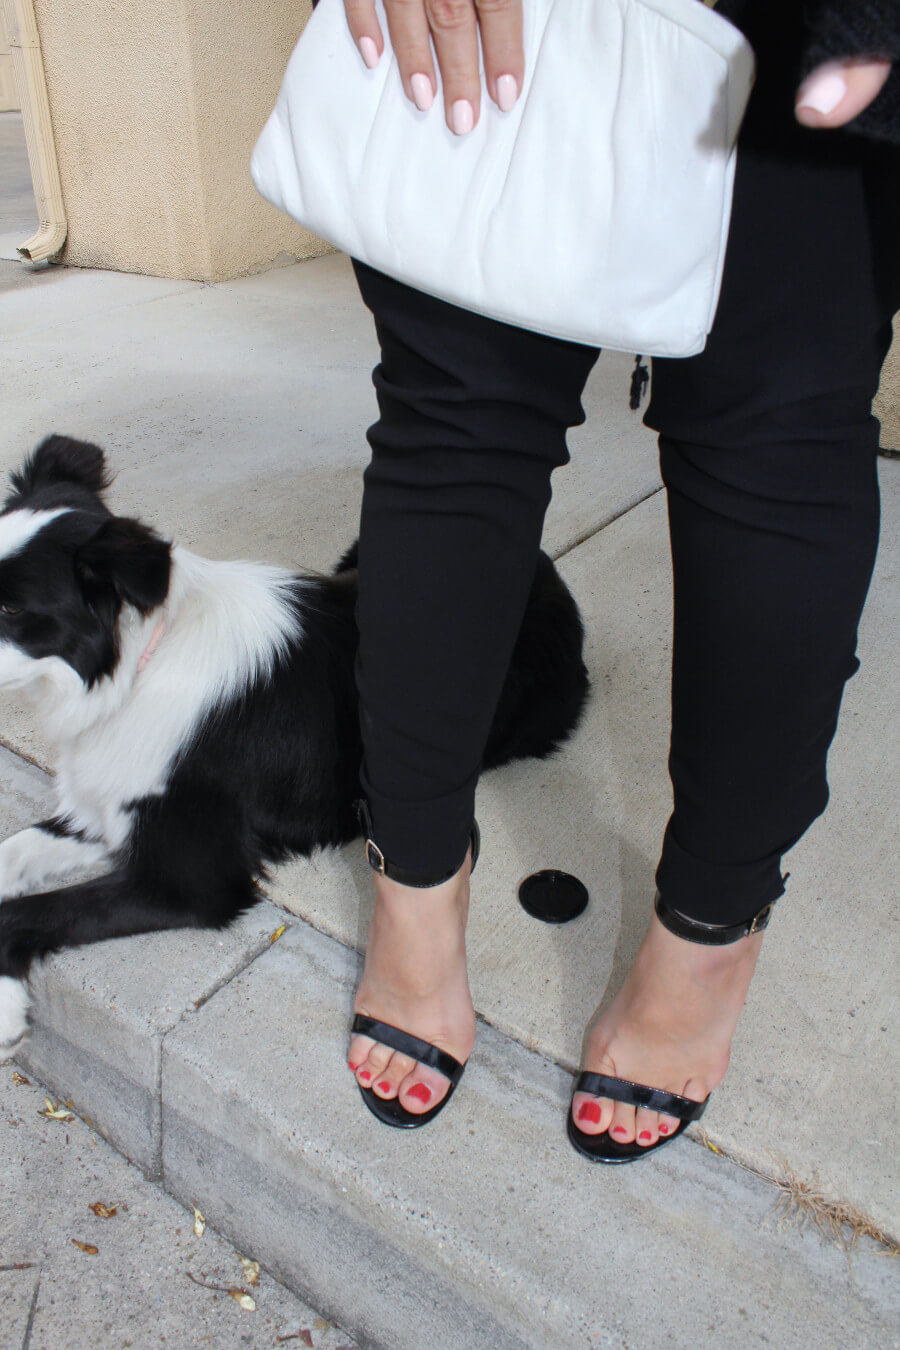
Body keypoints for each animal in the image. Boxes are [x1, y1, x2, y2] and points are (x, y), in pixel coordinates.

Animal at [0, 434, 591, 1053]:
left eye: (12, 609)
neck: (137, 666)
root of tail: (541, 564)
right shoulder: (109, 803)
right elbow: (16, 852)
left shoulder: (193, 882)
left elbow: (28, 913)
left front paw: (7, 1008)